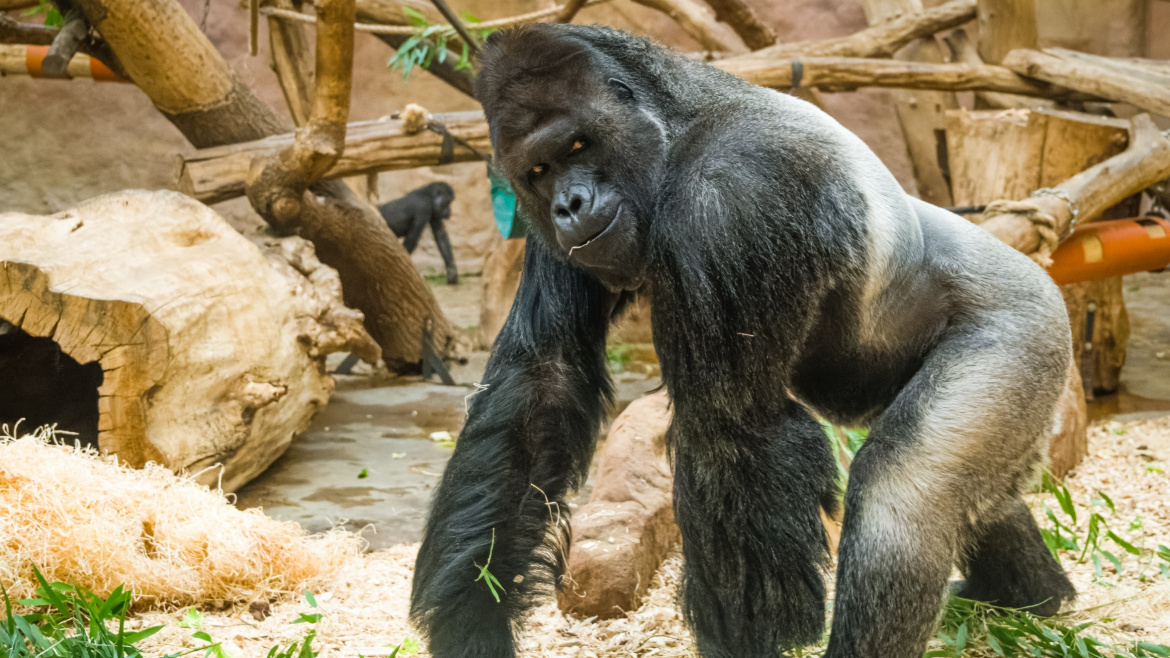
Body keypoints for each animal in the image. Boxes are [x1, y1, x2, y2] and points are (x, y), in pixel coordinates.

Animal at [411, 23, 1076, 650]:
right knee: (979, 493)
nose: (570, 204)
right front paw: (472, 620)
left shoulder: (729, 192)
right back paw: (1030, 597)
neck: (675, 125)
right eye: (539, 171)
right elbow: (542, 380)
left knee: (903, 493)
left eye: (579, 144)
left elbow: (733, 435)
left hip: (1026, 328)